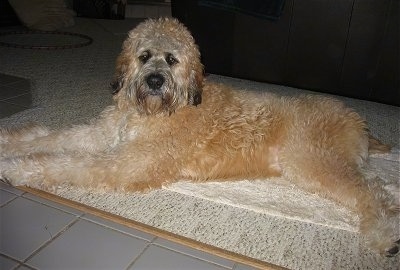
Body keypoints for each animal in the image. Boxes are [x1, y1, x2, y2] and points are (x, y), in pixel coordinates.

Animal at [0, 17, 398, 256]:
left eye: (172, 59)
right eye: (144, 55)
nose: (154, 81)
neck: (158, 109)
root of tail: (355, 118)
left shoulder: (125, 163)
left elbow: (65, 163)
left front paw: (17, 167)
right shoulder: (102, 136)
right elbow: (49, 138)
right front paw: (8, 143)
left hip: (314, 162)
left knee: (374, 191)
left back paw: (384, 236)